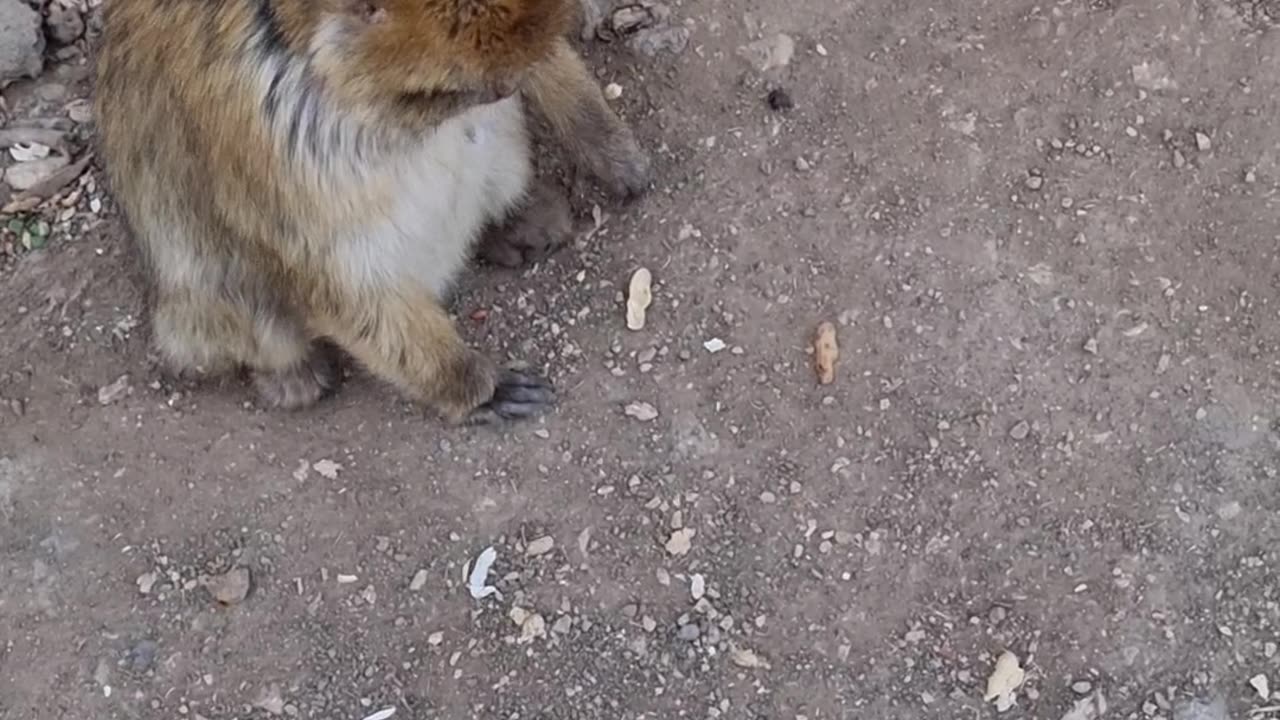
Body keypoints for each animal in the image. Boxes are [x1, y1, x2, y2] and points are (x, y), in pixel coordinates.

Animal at [93, 0, 651, 424]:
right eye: (447, 89)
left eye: (501, 77)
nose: (505, 89)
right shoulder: (268, 131)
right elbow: (342, 282)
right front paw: (476, 387)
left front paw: (609, 147)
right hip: (196, 312)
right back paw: (289, 373)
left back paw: (512, 222)